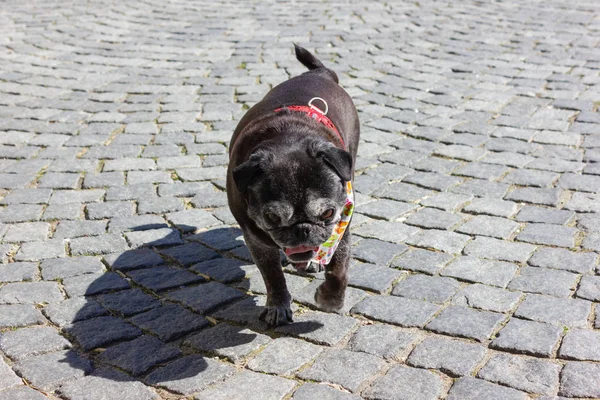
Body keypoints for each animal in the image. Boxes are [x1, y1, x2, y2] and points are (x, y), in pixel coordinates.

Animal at [226, 44, 358, 324]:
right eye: (272, 218)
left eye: (328, 213)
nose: (302, 230)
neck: (288, 138)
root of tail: (321, 73)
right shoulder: (257, 240)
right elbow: (272, 276)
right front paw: (278, 305)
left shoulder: (343, 224)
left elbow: (339, 268)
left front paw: (331, 299)